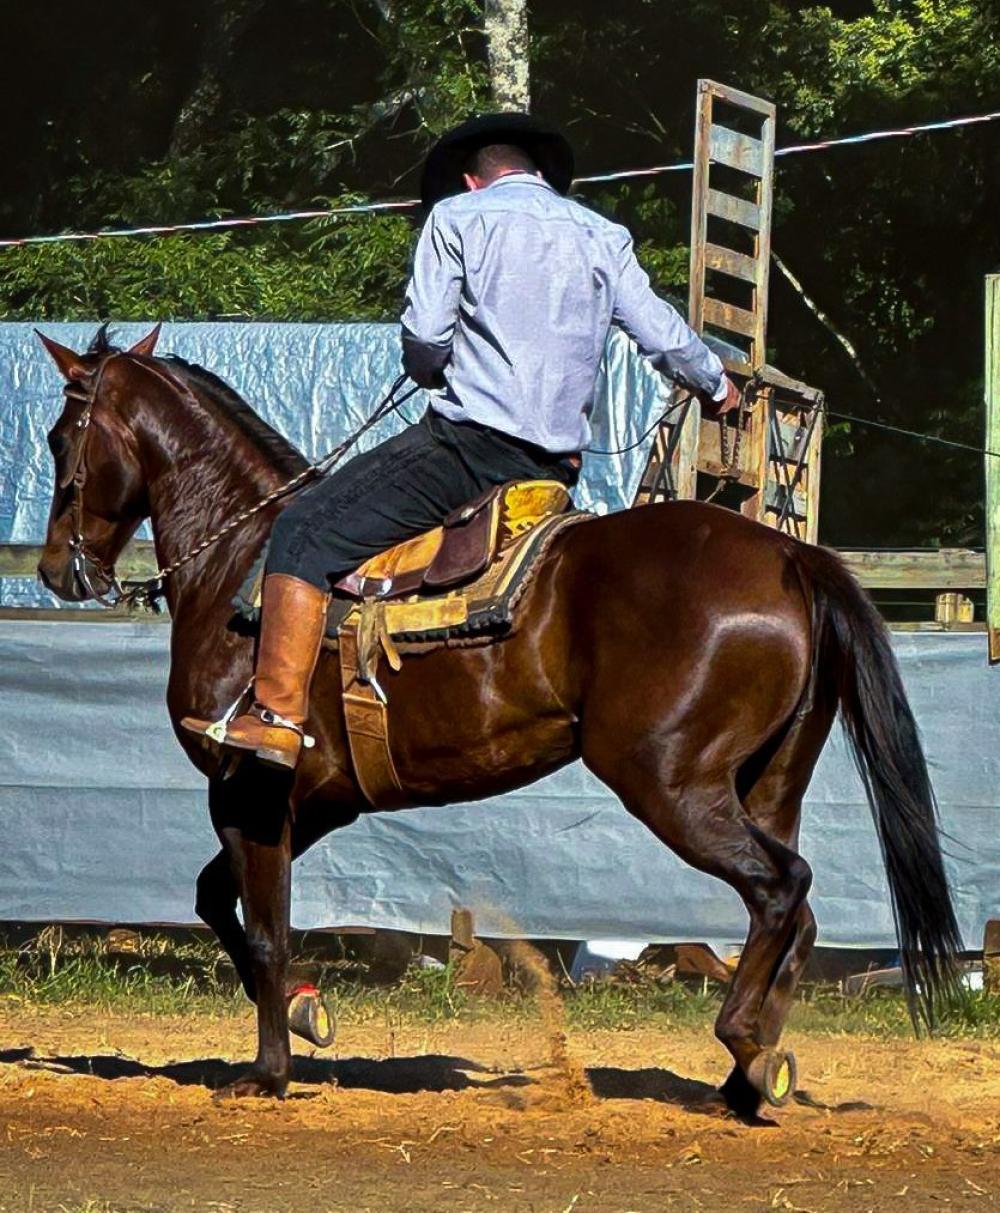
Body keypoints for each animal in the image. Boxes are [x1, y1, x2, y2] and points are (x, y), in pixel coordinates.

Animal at [33, 325, 961, 1118]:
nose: (55, 570)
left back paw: (745, 1044)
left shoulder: (246, 789)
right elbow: (217, 900)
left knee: (781, 888)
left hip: (672, 783)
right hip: (767, 782)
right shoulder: (315, 801)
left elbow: (261, 928)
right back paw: (747, 1076)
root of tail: (789, 553)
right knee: (798, 911)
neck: (241, 563)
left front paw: (268, 1071)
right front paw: (304, 1010)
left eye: (59, 437)